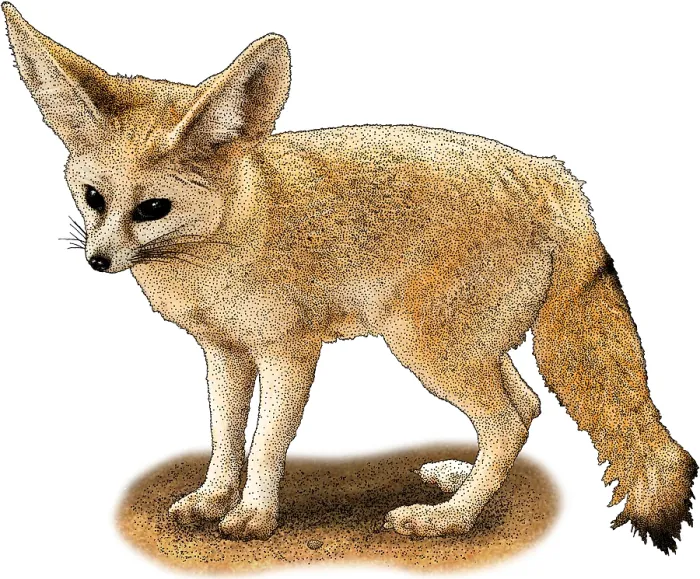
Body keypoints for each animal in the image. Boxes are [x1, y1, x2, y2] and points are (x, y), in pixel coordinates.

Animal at [3, 2, 696, 554]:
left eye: (152, 208)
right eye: (93, 199)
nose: (98, 260)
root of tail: (550, 174)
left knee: (508, 421)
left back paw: (447, 520)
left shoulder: (290, 353)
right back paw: (459, 485)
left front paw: (252, 517)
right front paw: (211, 500)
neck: (230, 230)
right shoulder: (224, 351)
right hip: (471, 348)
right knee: (525, 407)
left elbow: (267, 442)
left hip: (428, 350)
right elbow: (225, 436)